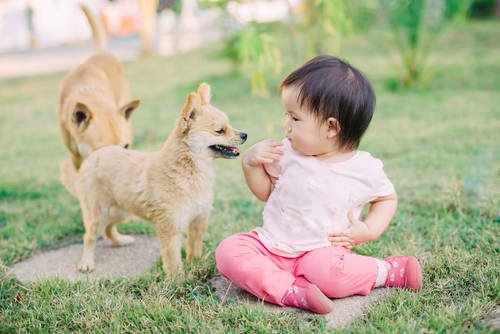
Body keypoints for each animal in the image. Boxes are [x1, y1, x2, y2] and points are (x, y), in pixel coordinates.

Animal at [77, 82, 247, 276]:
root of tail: (98, 152)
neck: (192, 171)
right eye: (220, 130)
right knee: (90, 235)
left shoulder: (198, 219)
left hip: (121, 210)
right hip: (98, 212)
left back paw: (119, 241)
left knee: (108, 227)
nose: (245, 135)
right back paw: (86, 262)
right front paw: (178, 278)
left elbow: (194, 247)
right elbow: (173, 259)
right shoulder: (170, 226)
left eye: (230, 125)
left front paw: (194, 264)